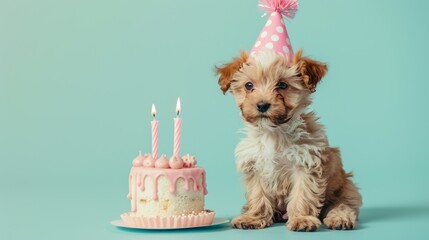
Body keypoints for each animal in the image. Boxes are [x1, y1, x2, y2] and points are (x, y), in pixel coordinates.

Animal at [216, 49, 360, 232]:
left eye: (282, 85)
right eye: (249, 85)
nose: (262, 105)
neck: (273, 132)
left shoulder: (306, 162)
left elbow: (303, 194)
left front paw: (301, 219)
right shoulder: (255, 165)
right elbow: (258, 194)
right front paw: (253, 218)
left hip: (345, 188)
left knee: (343, 204)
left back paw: (340, 218)